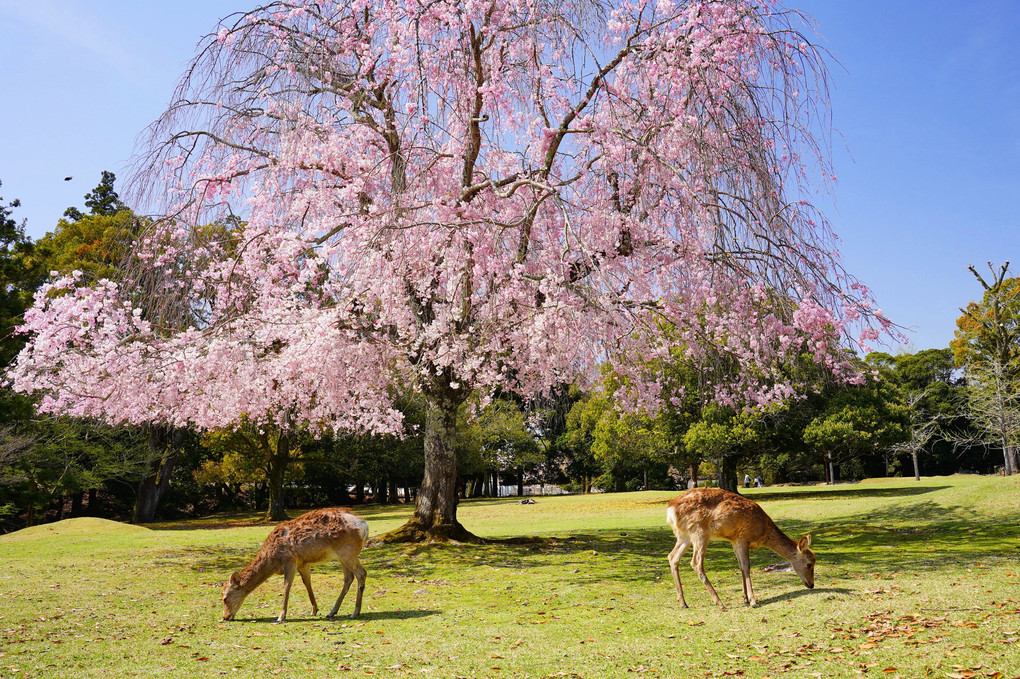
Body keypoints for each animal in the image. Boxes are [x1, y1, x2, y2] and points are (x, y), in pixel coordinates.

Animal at [221, 505, 369, 619]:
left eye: (224, 598)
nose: (225, 617)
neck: (272, 560)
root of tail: (365, 527)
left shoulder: (290, 560)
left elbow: (287, 586)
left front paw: (281, 616)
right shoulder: (303, 563)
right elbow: (307, 584)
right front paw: (314, 610)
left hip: (348, 552)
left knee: (361, 573)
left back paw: (355, 613)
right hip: (341, 556)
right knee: (348, 578)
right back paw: (332, 612)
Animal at [665, 487, 816, 607]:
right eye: (809, 564)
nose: (811, 585)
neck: (764, 530)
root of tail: (670, 510)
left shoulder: (734, 540)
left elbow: (740, 566)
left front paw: (745, 598)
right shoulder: (743, 537)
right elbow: (746, 566)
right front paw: (753, 601)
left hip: (684, 536)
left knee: (672, 557)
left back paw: (683, 602)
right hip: (699, 531)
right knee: (696, 562)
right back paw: (719, 602)